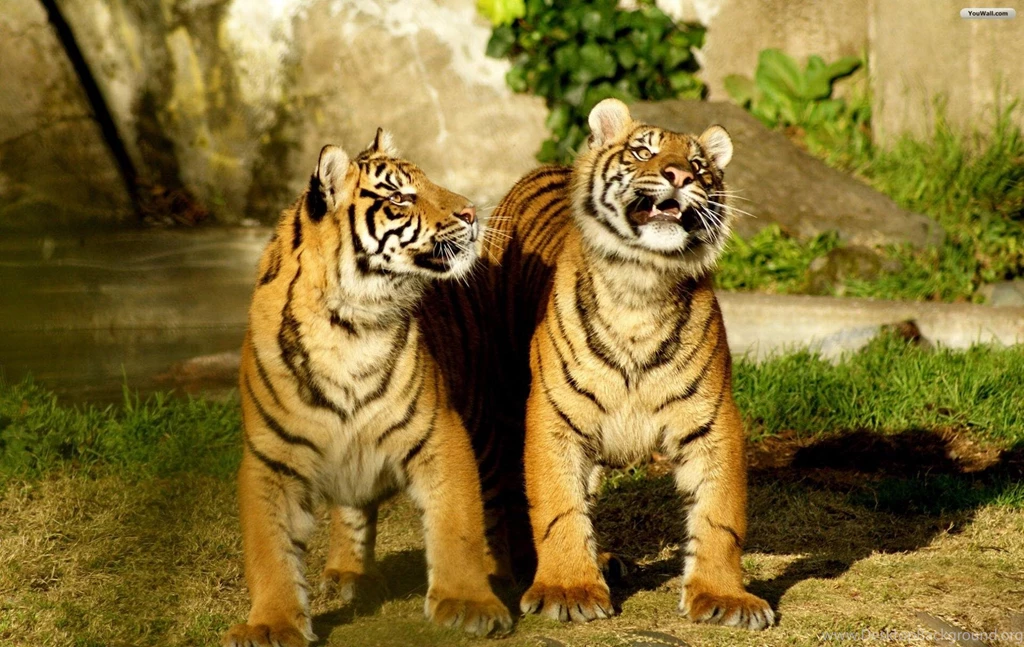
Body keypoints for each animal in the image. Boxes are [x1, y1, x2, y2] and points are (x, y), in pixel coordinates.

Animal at [222, 129, 513, 647]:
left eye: (428, 181)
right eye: (400, 197)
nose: (472, 213)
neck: (348, 325)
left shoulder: (442, 434)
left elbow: (457, 524)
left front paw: (467, 602)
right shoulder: (269, 458)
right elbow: (269, 551)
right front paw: (271, 624)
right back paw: (349, 575)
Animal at [485, 99, 775, 630]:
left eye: (700, 165)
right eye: (644, 151)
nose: (680, 175)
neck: (642, 284)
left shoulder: (713, 420)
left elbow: (719, 515)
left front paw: (724, 597)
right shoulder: (553, 419)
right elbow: (557, 507)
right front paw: (567, 589)